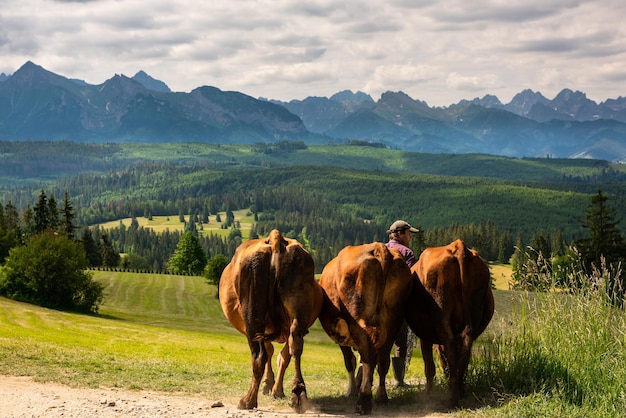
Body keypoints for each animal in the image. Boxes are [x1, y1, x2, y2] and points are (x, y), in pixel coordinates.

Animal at [218, 230, 322, 414]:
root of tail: (275, 238)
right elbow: (282, 356)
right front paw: (275, 389)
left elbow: (270, 352)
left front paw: (268, 385)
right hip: (298, 309)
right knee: (296, 347)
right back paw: (299, 394)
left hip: (252, 315)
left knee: (259, 356)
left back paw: (248, 400)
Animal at [316, 242, 414, 414]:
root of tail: (378, 247)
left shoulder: (341, 336)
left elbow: (350, 361)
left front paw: (351, 391)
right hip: (394, 321)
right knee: (383, 359)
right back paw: (381, 396)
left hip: (357, 319)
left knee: (368, 352)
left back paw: (363, 401)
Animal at [404, 240, 492, 406]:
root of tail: (457, 245)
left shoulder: (424, 336)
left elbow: (429, 366)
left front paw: (428, 393)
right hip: (474, 313)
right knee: (466, 348)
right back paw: (460, 391)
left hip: (441, 310)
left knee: (450, 348)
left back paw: (452, 398)